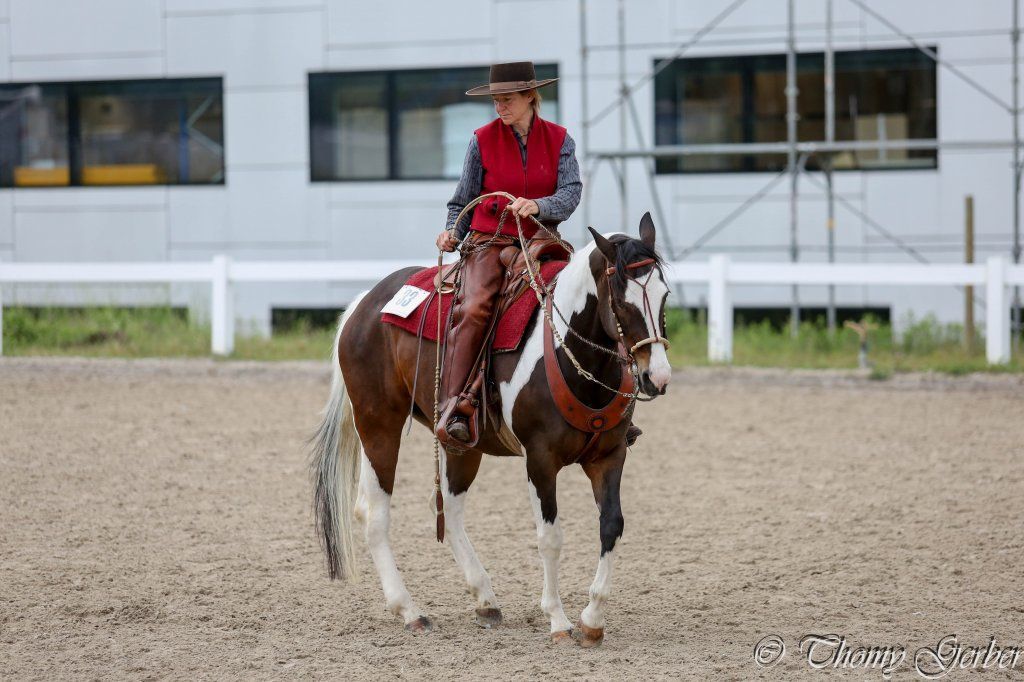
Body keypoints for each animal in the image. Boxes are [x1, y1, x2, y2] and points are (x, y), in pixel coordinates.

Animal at [310, 212, 672, 646]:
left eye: (666, 294)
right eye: (620, 301)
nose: (657, 377)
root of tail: (364, 304)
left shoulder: (609, 456)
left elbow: (611, 526)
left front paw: (592, 619)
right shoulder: (540, 460)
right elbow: (550, 537)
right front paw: (558, 620)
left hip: (459, 443)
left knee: (448, 508)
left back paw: (485, 599)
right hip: (378, 423)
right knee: (374, 512)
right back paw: (410, 611)